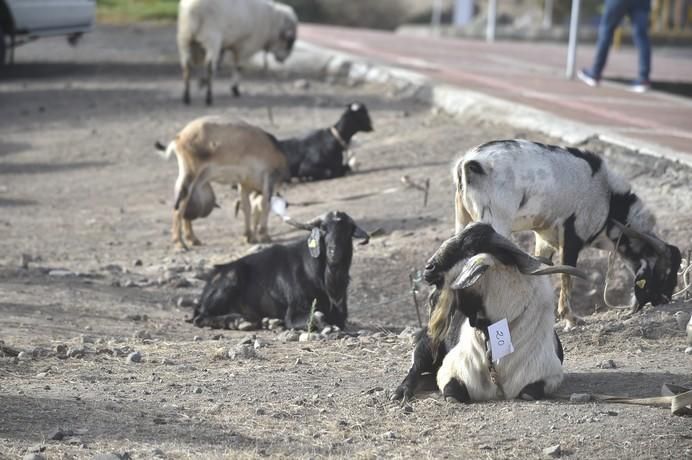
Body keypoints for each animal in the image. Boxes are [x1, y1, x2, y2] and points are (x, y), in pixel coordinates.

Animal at [155, 117, 288, 250]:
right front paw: (264, 236)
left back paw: (192, 240)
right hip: (190, 176)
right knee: (180, 206)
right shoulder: (268, 180)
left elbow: (247, 207)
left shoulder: (245, 185)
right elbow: (265, 206)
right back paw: (180, 243)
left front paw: (249, 236)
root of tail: (179, 138)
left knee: (184, 207)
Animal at [189, 212, 370, 330]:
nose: (334, 252)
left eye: (348, 230)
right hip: (231, 279)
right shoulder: (293, 312)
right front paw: (326, 329)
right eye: (324, 228)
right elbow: (317, 315)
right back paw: (238, 322)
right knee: (201, 317)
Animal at [390, 223, 584, 402]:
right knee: (417, 366)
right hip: (428, 344)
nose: (428, 268)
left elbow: (529, 392)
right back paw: (401, 391)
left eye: (470, 248)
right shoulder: (450, 371)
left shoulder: (549, 375)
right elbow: (453, 393)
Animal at [454, 140, 680, 330]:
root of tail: (471, 163)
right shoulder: (572, 238)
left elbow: (541, 268)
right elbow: (567, 276)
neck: (609, 197)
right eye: (665, 273)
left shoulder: (544, 238)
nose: (665, 300)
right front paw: (571, 319)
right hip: (494, 225)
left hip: (463, 219)